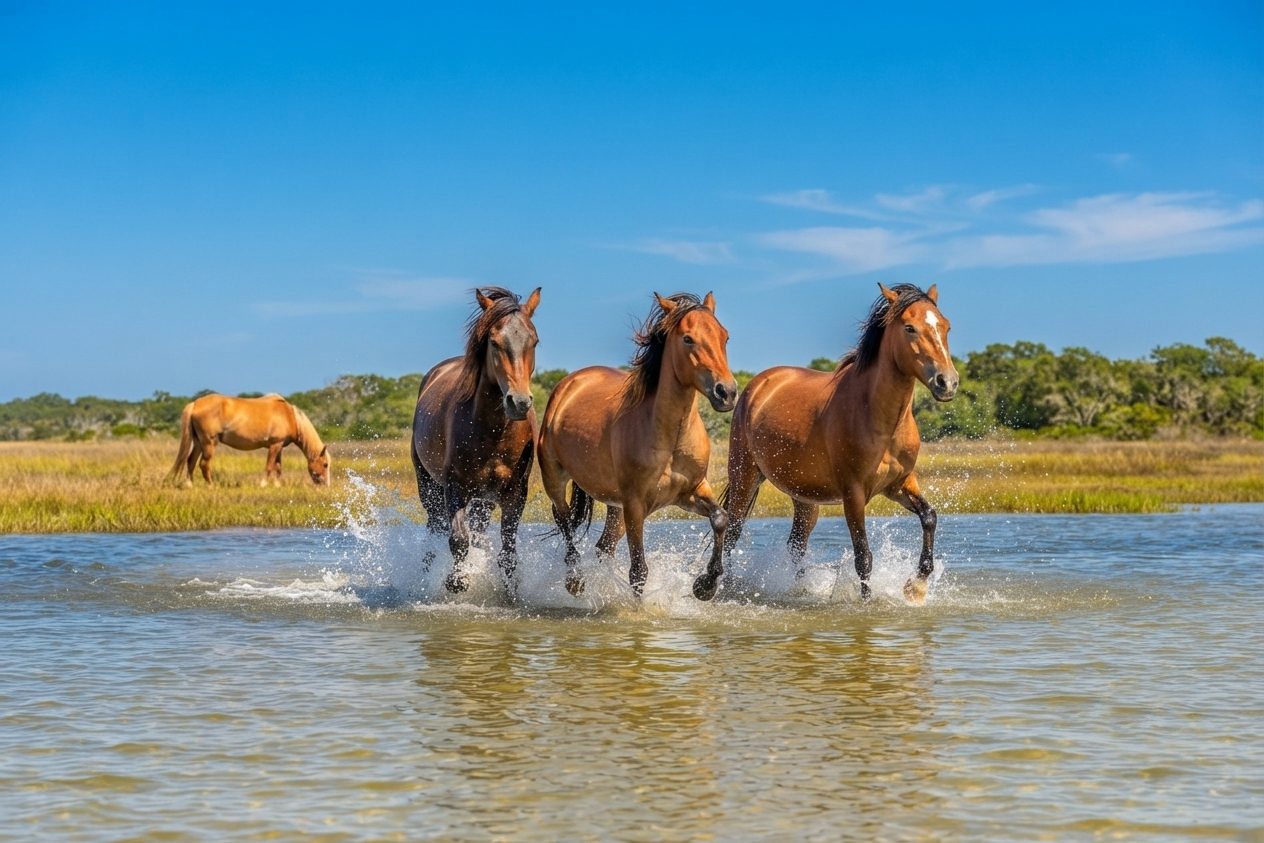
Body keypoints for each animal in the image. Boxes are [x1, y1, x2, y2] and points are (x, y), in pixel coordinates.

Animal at [169, 393, 331, 487]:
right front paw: (263, 485)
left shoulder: (279, 446)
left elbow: (278, 468)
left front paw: (277, 486)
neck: (289, 416)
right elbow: (269, 466)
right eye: (325, 464)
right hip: (209, 443)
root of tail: (195, 403)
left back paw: (190, 485)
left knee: (191, 461)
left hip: (198, 442)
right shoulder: (274, 445)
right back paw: (211, 486)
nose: (325, 485)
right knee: (204, 464)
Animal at [410, 286, 541, 594]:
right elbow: (458, 539)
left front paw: (510, 591)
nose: (519, 402)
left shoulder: (514, 494)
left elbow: (507, 552)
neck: (493, 433)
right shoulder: (455, 487)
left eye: (534, 341)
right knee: (434, 530)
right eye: (494, 342)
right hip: (429, 487)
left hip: (485, 499)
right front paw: (457, 580)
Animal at [537, 291, 738, 599]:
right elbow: (639, 571)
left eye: (724, 336)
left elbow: (720, 518)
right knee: (564, 521)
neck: (670, 439)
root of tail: (569, 384)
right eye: (688, 339)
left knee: (603, 547)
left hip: (615, 506)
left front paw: (705, 585)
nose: (726, 392)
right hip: (556, 481)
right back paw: (575, 582)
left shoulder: (691, 491)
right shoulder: (635, 505)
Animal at [723, 283, 958, 605]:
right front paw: (867, 603)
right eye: (910, 328)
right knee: (731, 534)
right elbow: (863, 557)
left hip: (805, 499)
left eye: (946, 326)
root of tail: (757, 385)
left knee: (795, 546)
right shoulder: (853, 494)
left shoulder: (900, 485)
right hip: (745, 478)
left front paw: (916, 586)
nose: (947, 382)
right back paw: (724, 587)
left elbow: (929, 517)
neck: (879, 418)